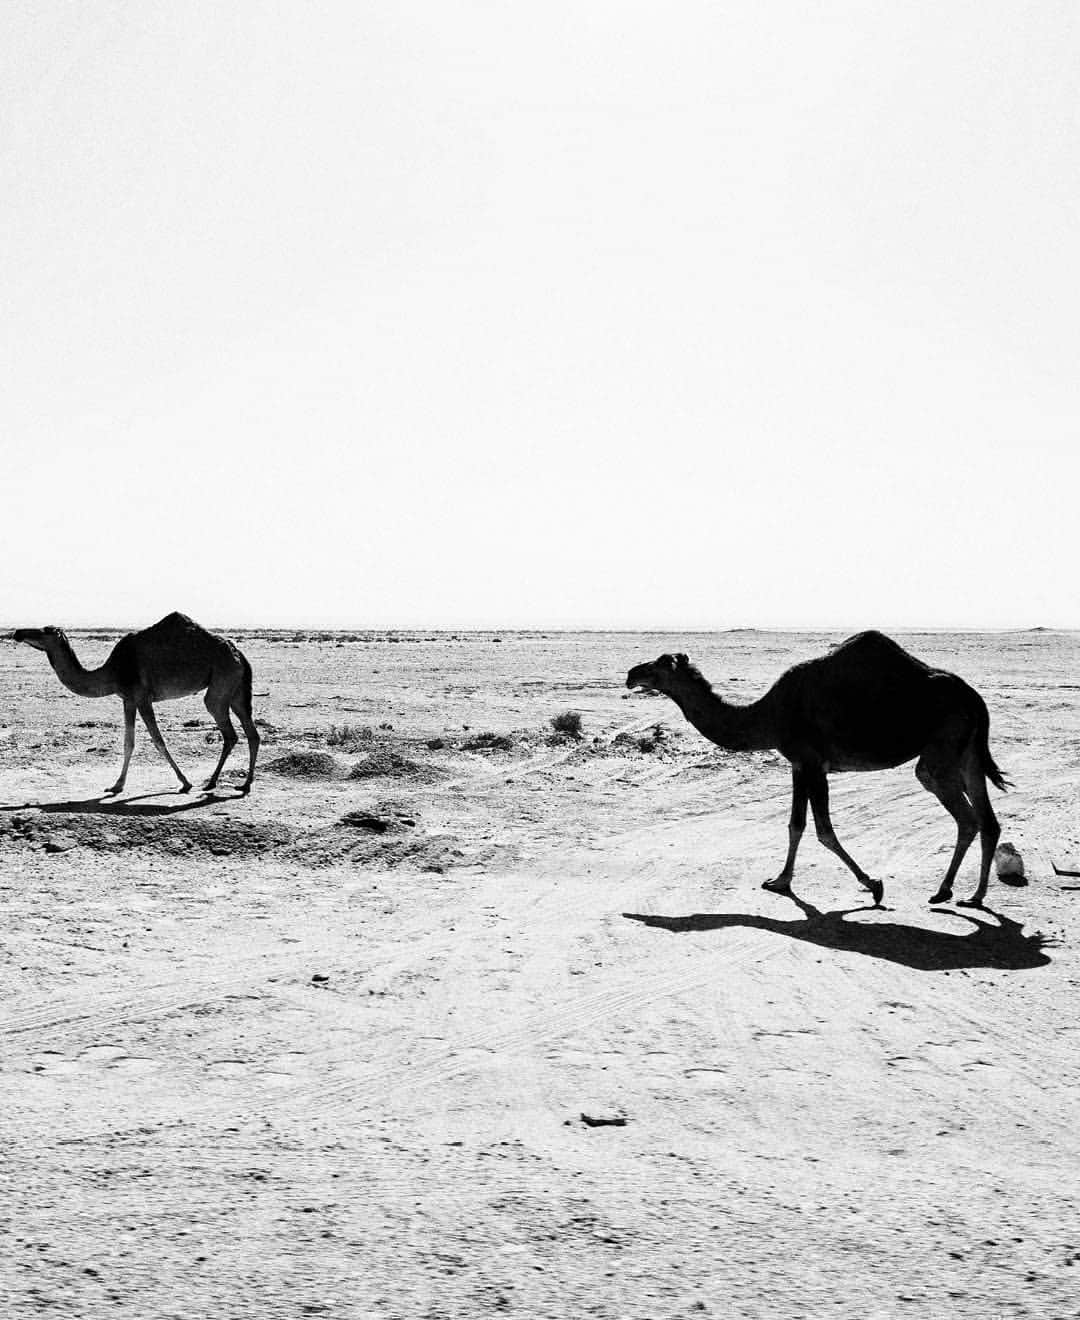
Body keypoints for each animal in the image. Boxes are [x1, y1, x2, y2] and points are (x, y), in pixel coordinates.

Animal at [11, 607, 258, 792]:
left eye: (45, 630)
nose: (18, 632)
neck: (112, 670)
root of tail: (239, 654)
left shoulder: (142, 697)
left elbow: (158, 740)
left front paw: (185, 782)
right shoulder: (127, 699)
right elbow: (128, 742)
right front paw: (116, 786)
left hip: (220, 683)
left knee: (229, 732)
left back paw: (213, 783)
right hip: (235, 690)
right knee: (251, 732)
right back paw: (243, 784)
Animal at [625, 630, 1003, 908]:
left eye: (659, 666)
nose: (630, 674)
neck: (768, 714)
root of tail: (974, 698)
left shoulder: (812, 762)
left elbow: (824, 830)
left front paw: (873, 884)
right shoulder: (797, 764)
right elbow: (796, 824)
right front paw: (780, 881)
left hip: (941, 749)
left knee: (963, 813)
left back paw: (947, 891)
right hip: (967, 752)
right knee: (987, 820)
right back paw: (973, 895)